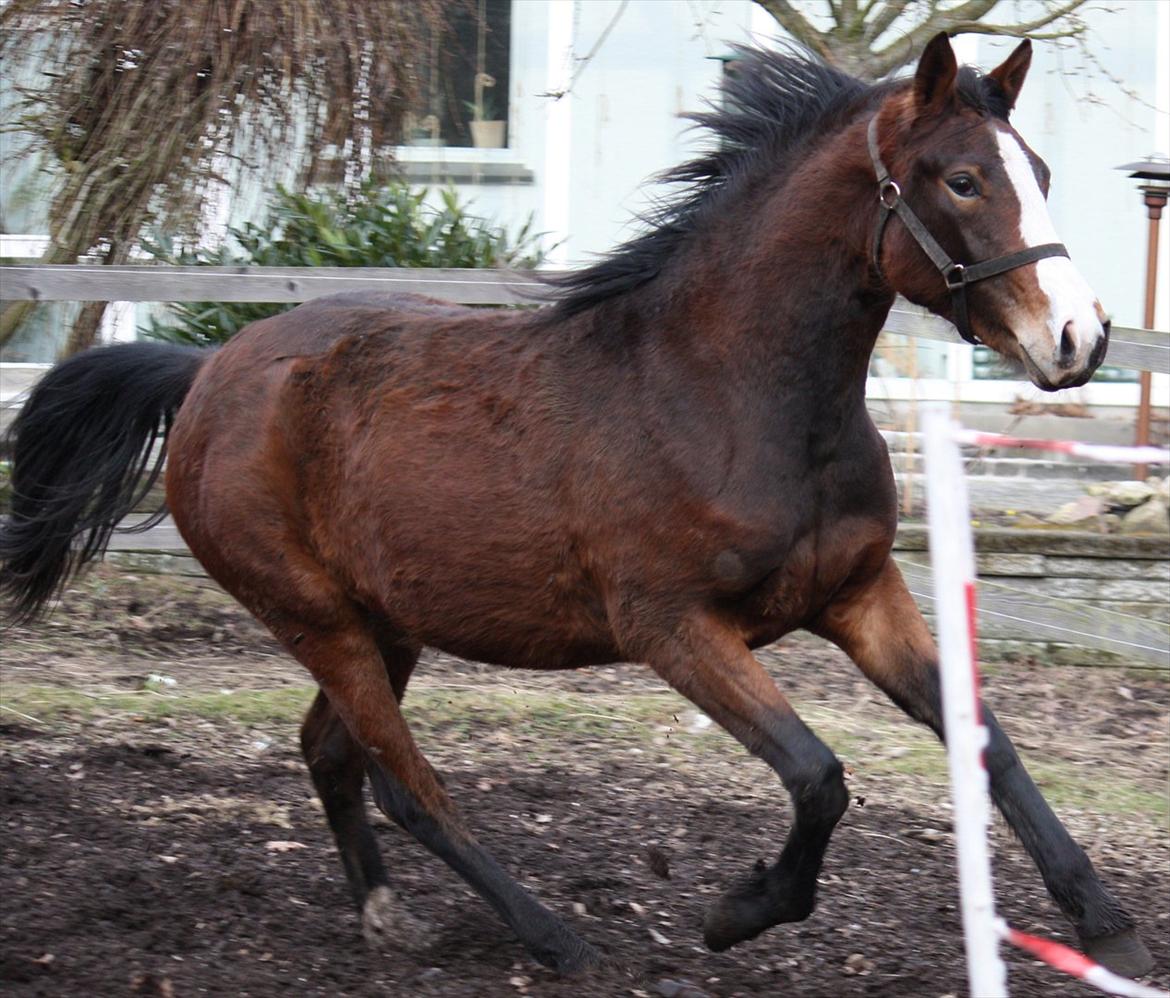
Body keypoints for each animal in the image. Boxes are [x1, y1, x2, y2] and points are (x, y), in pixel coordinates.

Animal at [0, 33, 1151, 982]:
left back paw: (386, 917)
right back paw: (554, 936)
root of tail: (204, 372)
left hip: (385, 621)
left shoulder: (861, 594)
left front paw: (1106, 923)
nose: (1080, 336)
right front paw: (737, 912)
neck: (730, 394)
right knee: (407, 781)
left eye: (1042, 174)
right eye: (961, 179)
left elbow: (985, 737)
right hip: (315, 617)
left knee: (332, 751)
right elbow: (819, 775)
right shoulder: (675, 628)